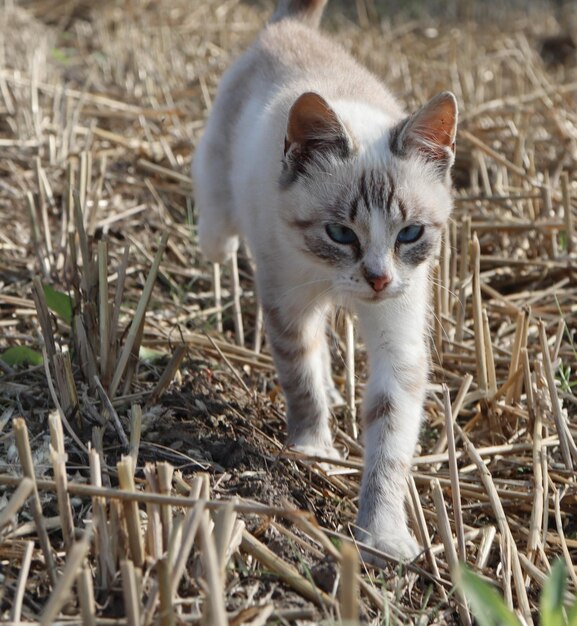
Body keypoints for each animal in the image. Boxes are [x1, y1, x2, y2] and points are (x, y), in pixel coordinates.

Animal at [191, 0, 456, 560]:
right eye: (339, 233)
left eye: (410, 234)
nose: (377, 279)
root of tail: (290, 25)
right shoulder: (288, 306)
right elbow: (302, 380)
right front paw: (313, 449)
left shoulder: (399, 335)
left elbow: (390, 437)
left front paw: (383, 535)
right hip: (220, 200)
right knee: (214, 225)